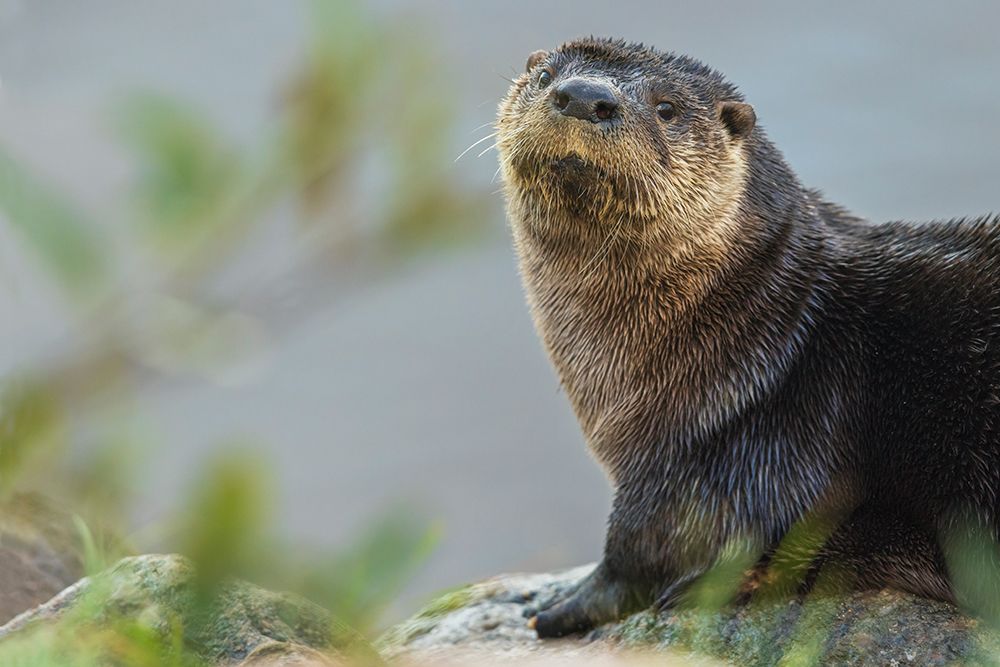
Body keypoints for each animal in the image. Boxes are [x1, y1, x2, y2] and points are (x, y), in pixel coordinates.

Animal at [496, 37, 1000, 638]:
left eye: (667, 109)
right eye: (547, 76)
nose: (584, 96)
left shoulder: (717, 460)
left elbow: (641, 550)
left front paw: (562, 605)